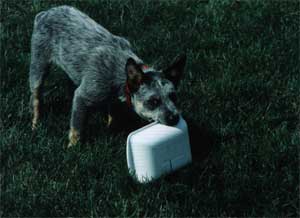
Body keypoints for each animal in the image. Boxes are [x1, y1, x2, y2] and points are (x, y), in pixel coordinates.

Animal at [29, 5, 185, 148]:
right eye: (153, 101)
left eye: (174, 97)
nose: (175, 118)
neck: (121, 74)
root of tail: (45, 13)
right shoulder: (84, 96)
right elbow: (77, 127)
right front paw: (73, 147)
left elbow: (113, 113)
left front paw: (111, 128)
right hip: (38, 62)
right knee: (36, 96)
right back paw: (36, 123)